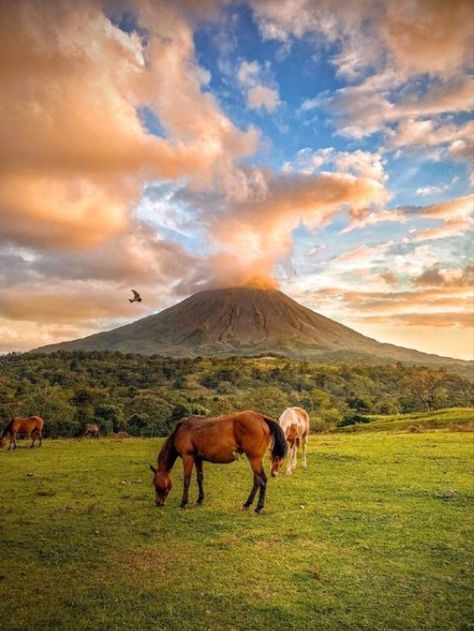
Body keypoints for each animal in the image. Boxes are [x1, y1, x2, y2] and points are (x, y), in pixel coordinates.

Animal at [150, 414, 286, 512]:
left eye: (155, 484)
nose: (158, 502)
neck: (183, 429)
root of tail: (262, 417)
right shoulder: (198, 459)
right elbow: (200, 478)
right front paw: (200, 499)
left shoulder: (187, 457)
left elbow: (187, 480)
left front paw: (184, 502)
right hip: (255, 460)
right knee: (257, 481)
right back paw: (247, 504)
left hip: (254, 459)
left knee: (262, 480)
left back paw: (259, 507)